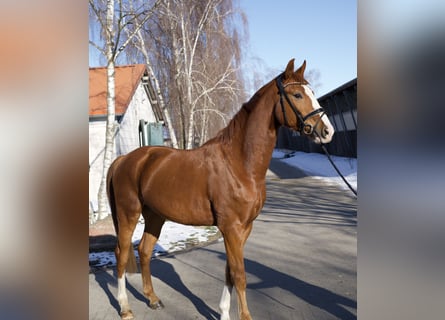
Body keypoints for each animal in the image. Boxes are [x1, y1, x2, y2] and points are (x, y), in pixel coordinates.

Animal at [107, 58, 332, 318]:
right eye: (297, 94)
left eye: (311, 92)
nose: (327, 131)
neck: (239, 163)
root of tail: (123, 160)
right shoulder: (231, 228)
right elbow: (240, 274)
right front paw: (244, 316)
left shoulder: (243, 228)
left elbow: (229, 272)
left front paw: (224, 312)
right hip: (128, 214)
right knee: (122, 254)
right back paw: (125, 308)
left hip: (155, 216)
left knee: (144, 251)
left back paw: (153, 299)